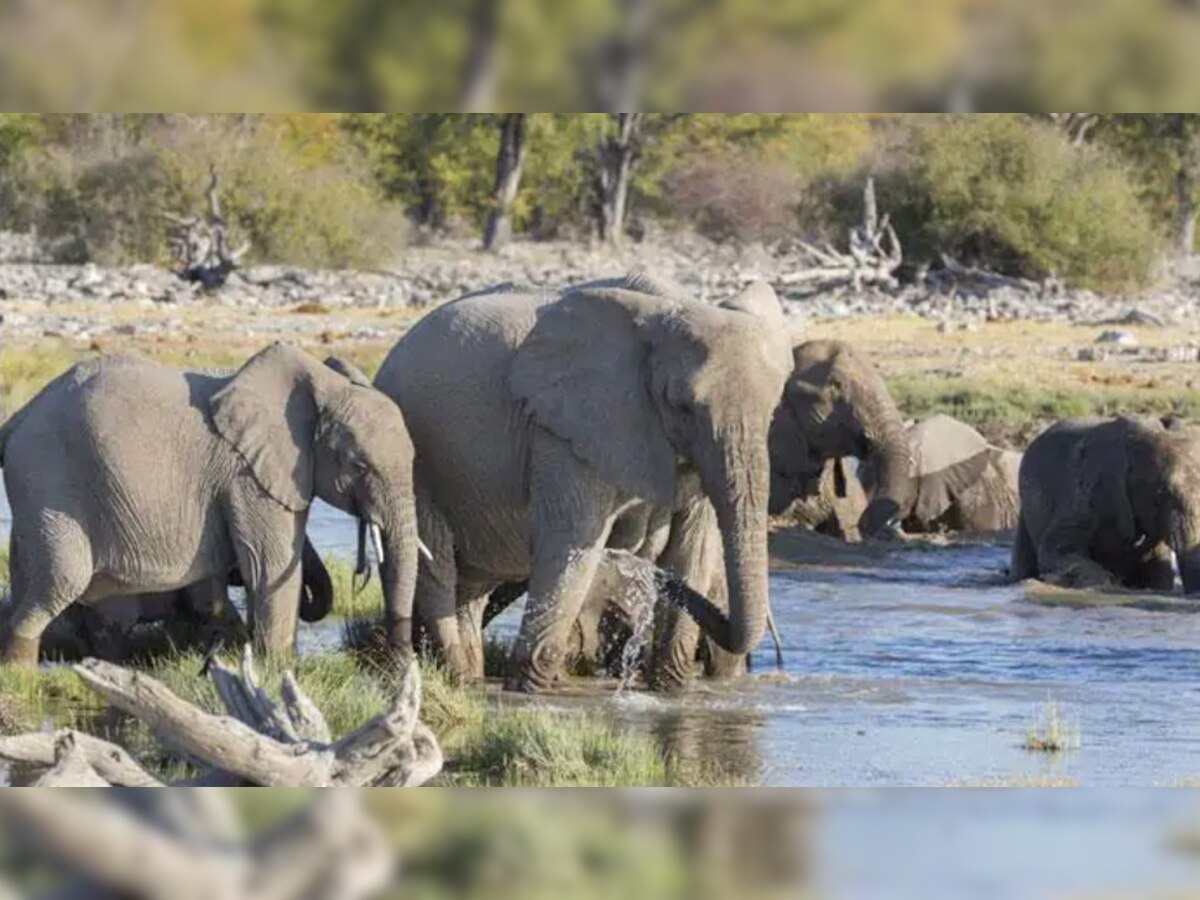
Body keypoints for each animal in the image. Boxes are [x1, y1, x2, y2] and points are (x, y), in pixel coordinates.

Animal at [0, 340, 422, 667]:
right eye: (359, 465)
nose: (398, 654)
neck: (321, 385)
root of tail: (17, 418)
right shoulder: (247, 477)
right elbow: (268, 566)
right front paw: (280, 666)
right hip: (47, 475)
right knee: (61, 579)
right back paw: (21, 672)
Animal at [369, 271, 792, 696]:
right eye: (682, 406)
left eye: (774, 410)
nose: (632, 557)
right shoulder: (563, 431)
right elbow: (571, 544)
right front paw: (528, 694)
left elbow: (692, 551)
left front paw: (670, 690)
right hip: (413, 464)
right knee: (438, 565)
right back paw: (458, 678)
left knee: (472, 587)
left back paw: (468, 678)